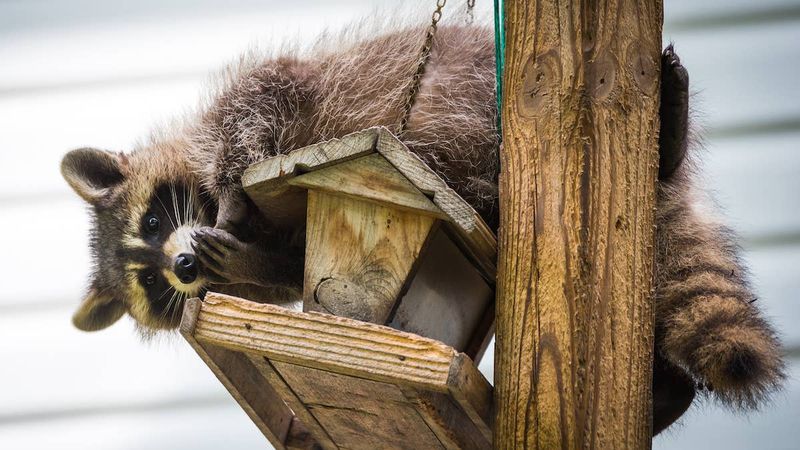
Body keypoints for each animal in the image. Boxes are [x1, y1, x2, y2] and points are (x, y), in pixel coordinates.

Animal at [60, 25, 783, 434]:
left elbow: (257, 104)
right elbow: (289, 267)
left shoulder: (261, 99)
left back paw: (667, 139)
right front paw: (244, 264)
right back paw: (667, 394)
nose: (182, 268)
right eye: (154, 287)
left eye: (155, 219)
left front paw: (233, 187)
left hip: (484, 89)